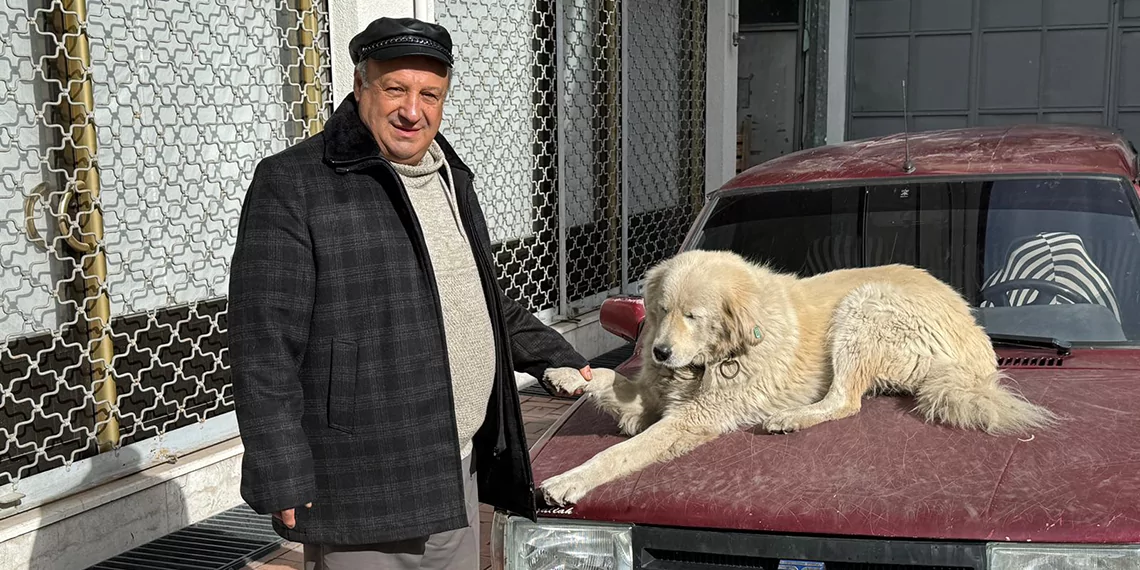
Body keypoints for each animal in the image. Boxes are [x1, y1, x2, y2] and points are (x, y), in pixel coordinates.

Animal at [538, 251, 1053, 506]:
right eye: (661, 310)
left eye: (692, 316)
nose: (660, 353)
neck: (718, 357)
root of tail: (976, 340)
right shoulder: (646, 400)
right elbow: (608, 376)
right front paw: (567, 374)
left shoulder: (691, 419)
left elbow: (619, 453)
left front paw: (570, 480)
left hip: (863, 307)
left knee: (846, 400)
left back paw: (792, 418)